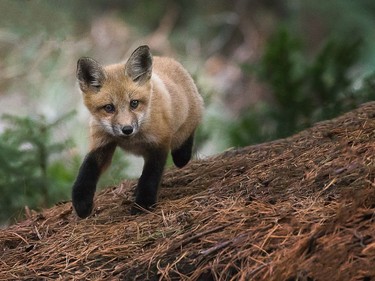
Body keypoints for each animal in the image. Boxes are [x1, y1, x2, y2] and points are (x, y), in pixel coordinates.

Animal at [72, 45, 204, 217]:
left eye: (134, 103)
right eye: (109, 108)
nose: (127, 129)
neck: (131, 140)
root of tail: (168, 59)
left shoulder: (159, 143)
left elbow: (150, 177)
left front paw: (143, 204)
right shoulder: (102, 141)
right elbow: (87, 170)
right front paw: (82, 202)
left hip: (185, 127)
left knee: (184, 145)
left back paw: (182, 152)